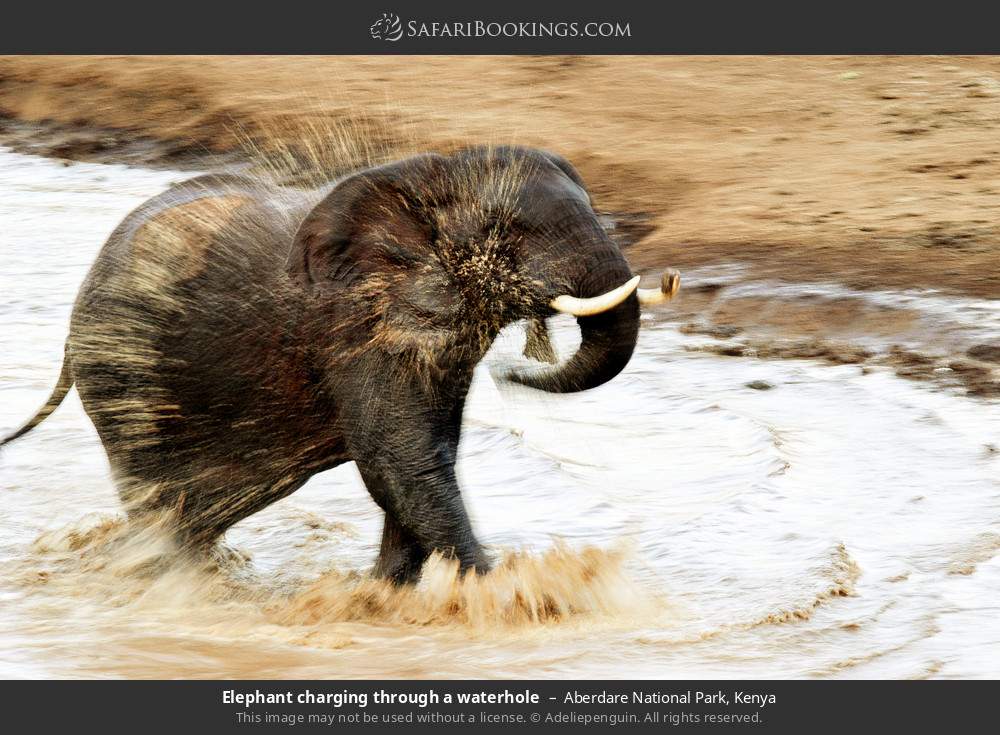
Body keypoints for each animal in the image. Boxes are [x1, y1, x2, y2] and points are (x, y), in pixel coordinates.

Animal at [1, 146, 679, 584]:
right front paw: (510, 595)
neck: (425, 175)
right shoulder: (354, 324)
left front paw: (382, 596)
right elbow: (400, 457)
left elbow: (425, 454)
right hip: (123, 373)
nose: (514, 373)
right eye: (509, 230)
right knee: (156, 493)